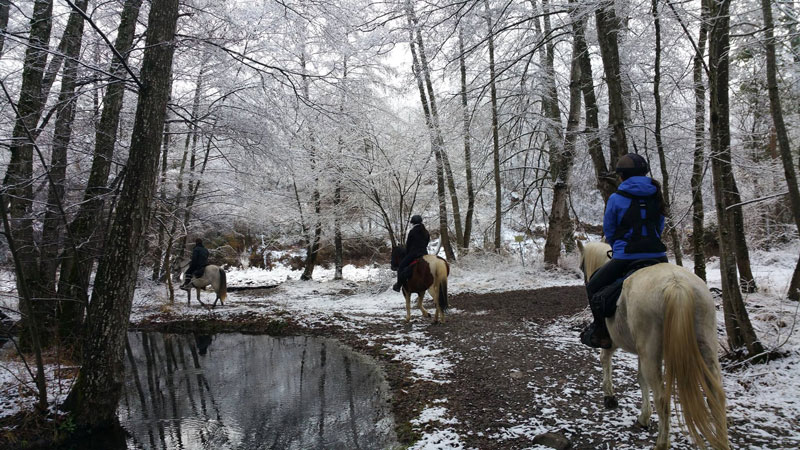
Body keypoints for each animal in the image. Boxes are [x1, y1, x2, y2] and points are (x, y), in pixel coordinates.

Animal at [580, 243, 728, 450]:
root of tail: (677, 285)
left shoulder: (614, 342)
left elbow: (605, 359)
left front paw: (609, 397)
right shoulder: (641, 352)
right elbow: (641, 379)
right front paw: (644, 417)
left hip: (651, 354)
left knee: (663, 399)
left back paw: (661, 443)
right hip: (705, 348)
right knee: (716, 396)